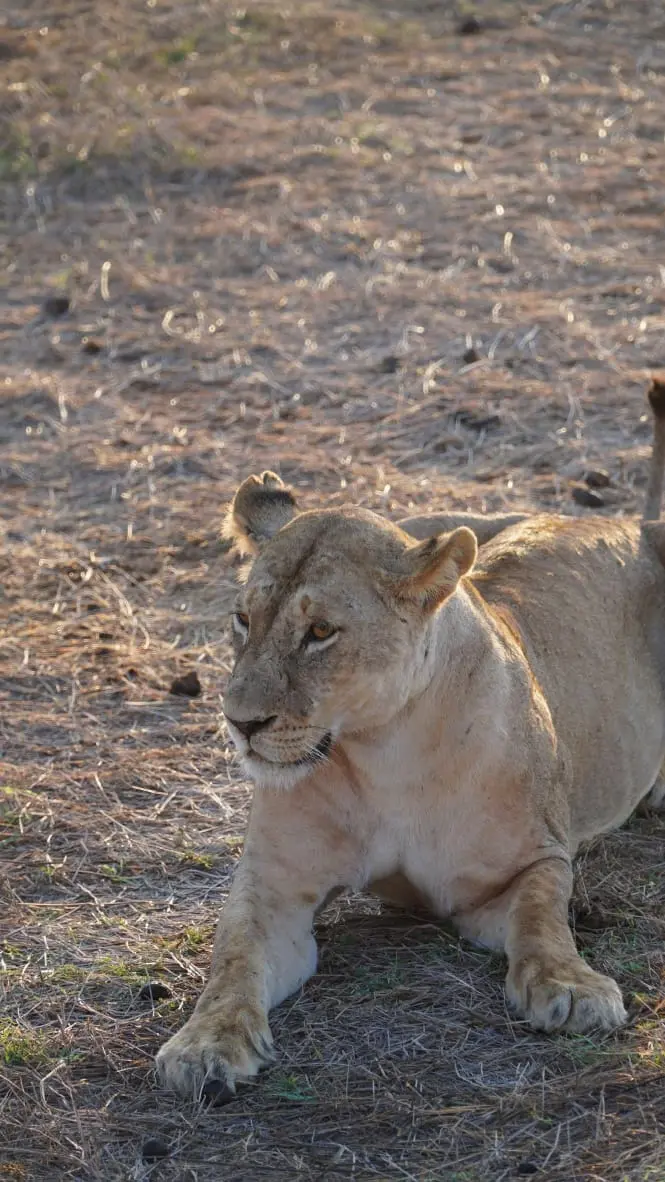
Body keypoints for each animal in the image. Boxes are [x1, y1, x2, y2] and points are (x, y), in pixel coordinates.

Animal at [156, 380, 665, 1102]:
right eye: (242, 619)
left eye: (320, 632)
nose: (239, 721)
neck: (382, 752)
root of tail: (630, 525)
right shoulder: (273, 883)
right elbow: (234, 957)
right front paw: (204, 1044)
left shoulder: (519, 868)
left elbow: (544, 916)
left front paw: (571, 989)